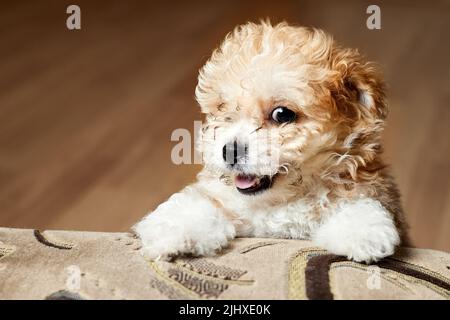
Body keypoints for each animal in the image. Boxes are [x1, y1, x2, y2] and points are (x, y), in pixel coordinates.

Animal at [134, 21, 408, 262]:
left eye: (282, 114)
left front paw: (362, 231)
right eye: (223, 110)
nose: (229, 151)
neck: (280, 201)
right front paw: (172, 230)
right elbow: (201, 203)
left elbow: (357, 202)